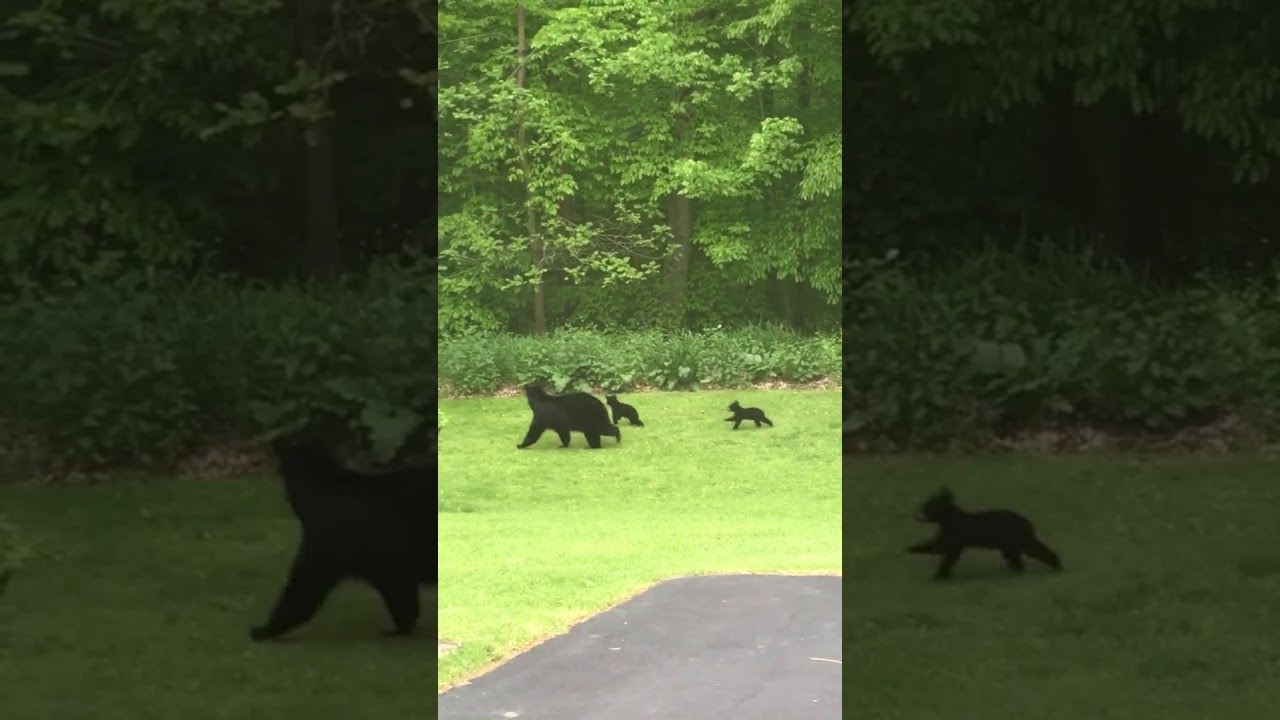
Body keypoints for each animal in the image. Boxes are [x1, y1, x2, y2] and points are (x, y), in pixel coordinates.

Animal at [906, 487, 1062, 580]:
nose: (916, 513)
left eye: (929, 506)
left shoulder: (952, 545)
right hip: (1009, 547)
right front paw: (909, 549)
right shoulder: (943, 541)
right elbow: (930, 547)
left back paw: (1057, 566)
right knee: (1018, 561)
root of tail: (1027, 522)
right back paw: (1015, 572)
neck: (949, 520)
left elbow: (945, 559)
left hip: (1020, 543)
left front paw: (939, 577)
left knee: (1041, 552)